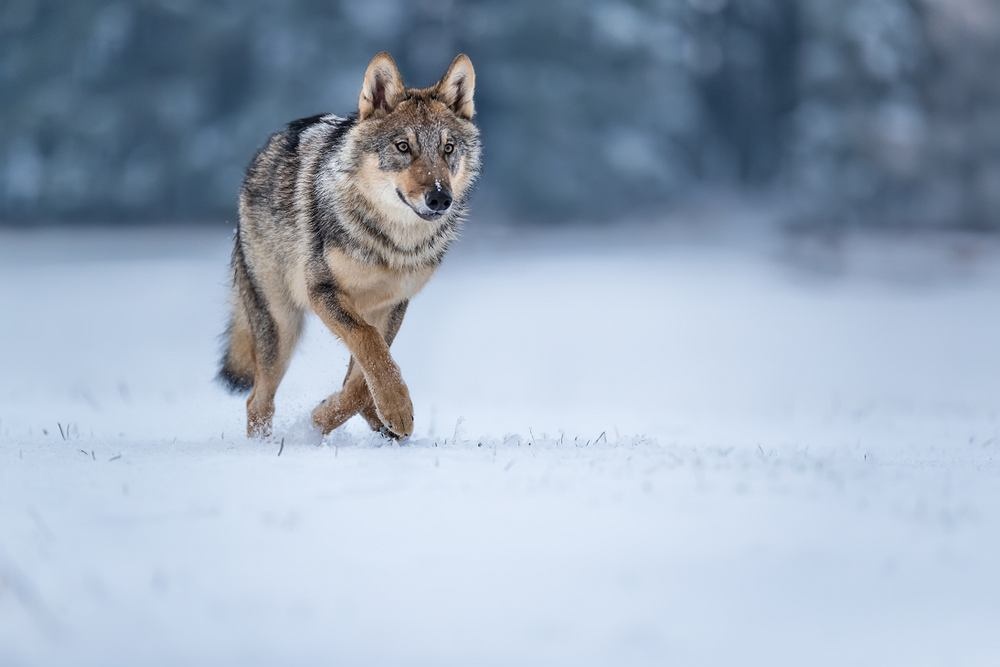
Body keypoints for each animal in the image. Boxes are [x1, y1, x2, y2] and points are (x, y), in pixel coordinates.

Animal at [218, 52, 480, 438]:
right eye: (403, 147)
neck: (392, 244)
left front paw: (332, 415)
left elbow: (364, 375)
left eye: (448, 148)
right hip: (282, 325)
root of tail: (266, 149)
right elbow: (369, 345)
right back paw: (262, 445)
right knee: (257, 401)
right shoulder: (323, 292)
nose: (440, 199)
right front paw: (391, 409)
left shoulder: (392, 305)